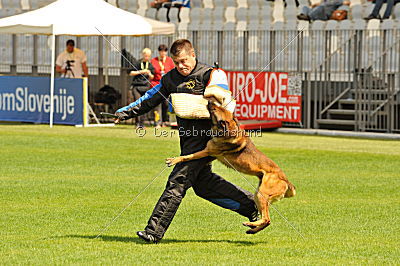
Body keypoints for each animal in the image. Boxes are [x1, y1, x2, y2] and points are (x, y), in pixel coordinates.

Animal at [166, 101, 296, 234]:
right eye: (219, 107)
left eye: (215, 109)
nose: (209, 101)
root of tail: (286, 181)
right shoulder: (211, 155)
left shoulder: (207, 151)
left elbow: (187, 156)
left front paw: (174, 160)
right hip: (258, 194)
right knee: (267, 220)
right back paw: (252, 229)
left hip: (262, 195)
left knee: (267, 219)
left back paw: (250, 224)